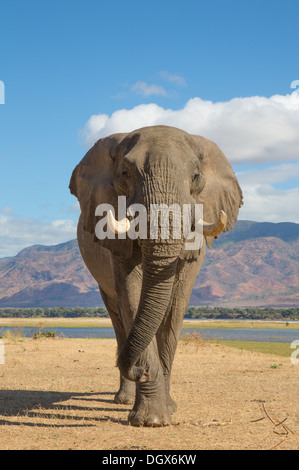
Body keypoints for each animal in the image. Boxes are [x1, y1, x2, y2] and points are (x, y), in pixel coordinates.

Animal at [70, 124, 244, 426]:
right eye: (125, 173)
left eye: (196, 176)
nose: (141, 372)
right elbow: (131, 294)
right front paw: (150, 419)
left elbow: (175, 305)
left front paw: (168, 410)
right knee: (117, 316)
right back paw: (124, 399)